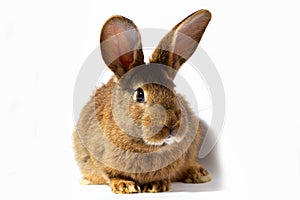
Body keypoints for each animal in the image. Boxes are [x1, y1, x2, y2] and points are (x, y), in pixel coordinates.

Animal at [73, 9, 212, 194]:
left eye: (173, 89)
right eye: (140, 95)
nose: (171, 124)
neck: (146, 147)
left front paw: (157, 185)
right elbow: (110, 174)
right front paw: (125, 186)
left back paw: (200, 174)